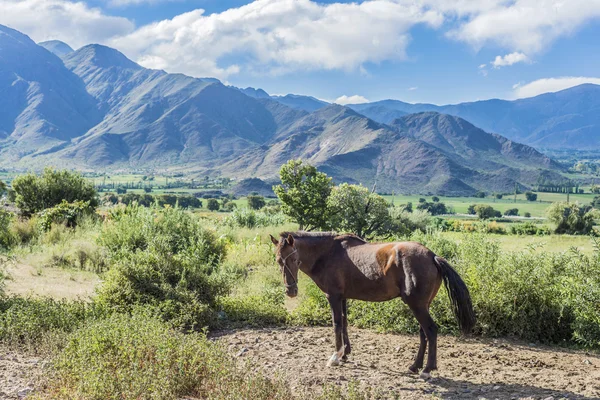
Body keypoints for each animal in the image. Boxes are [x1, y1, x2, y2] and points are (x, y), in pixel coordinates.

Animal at [270, 231, 476, 378]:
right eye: (278, 261)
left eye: (294, 259)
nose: (291, 291)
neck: (328, 254)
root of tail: (432, 256)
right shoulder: (343, 298)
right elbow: (344, 323)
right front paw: (345, 354)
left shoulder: (333, 296)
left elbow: (337, 324)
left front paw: (335, 357)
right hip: (423, 305)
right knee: (423, 333)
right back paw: (415, 366)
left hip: (417, 305)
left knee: (431, 331)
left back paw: (427, 369)